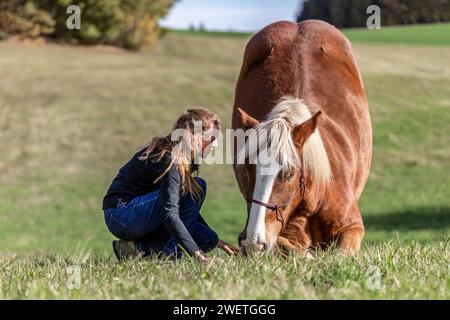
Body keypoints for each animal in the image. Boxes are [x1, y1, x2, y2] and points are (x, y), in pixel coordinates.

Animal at [232, 20, 372, 255]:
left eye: (289, 174)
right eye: (249, 168)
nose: (254, 241)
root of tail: (296, 25)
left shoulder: (352, 227)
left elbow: (340, 252)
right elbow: (286, 245)